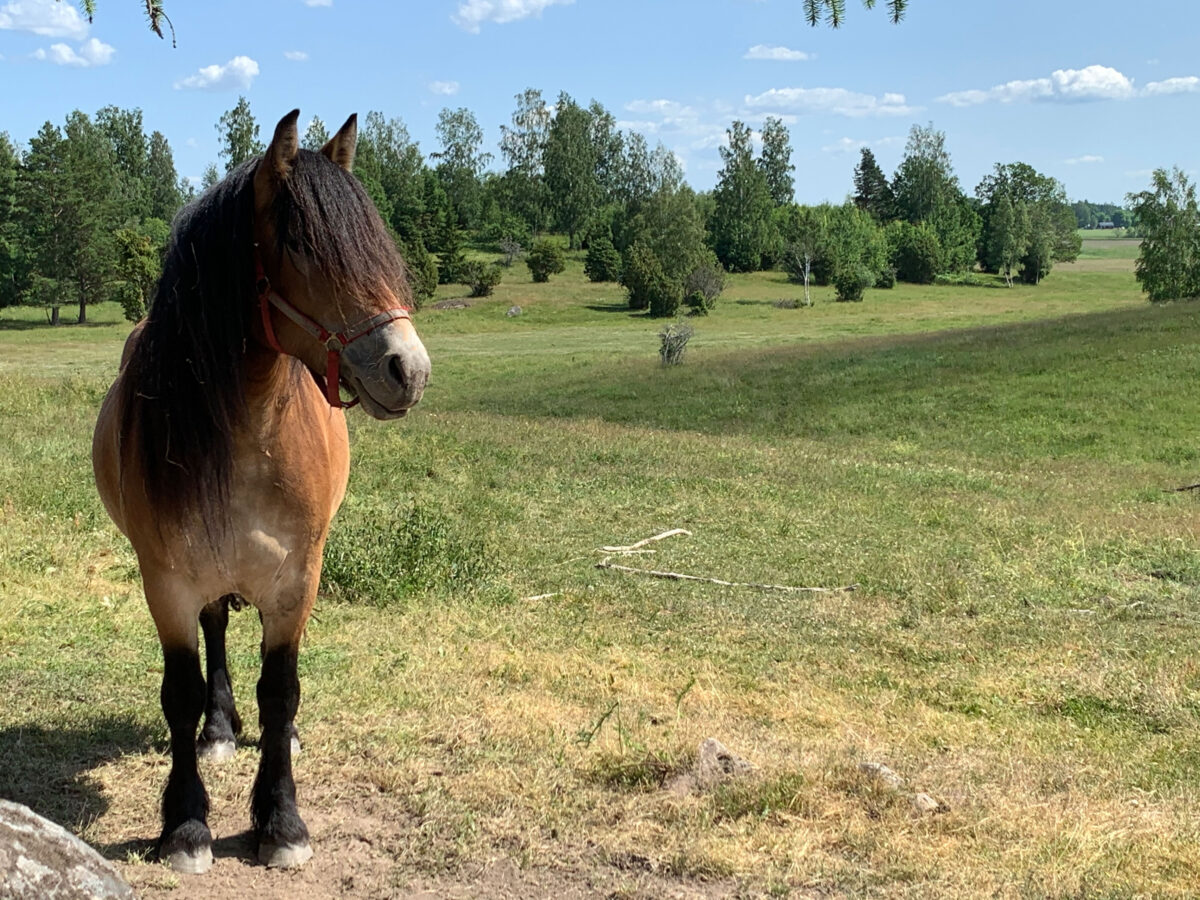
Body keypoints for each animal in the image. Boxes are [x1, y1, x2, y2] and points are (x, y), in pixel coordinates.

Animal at [92, 111, 432, 873]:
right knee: (217, 632)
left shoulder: (295, 580)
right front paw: (186, 824)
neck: (248, 436)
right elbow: (181, 692)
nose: (409, 369)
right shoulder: (167, 582)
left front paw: (281, 821)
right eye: (303, 245)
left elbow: (281, 691)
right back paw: (220, 730)